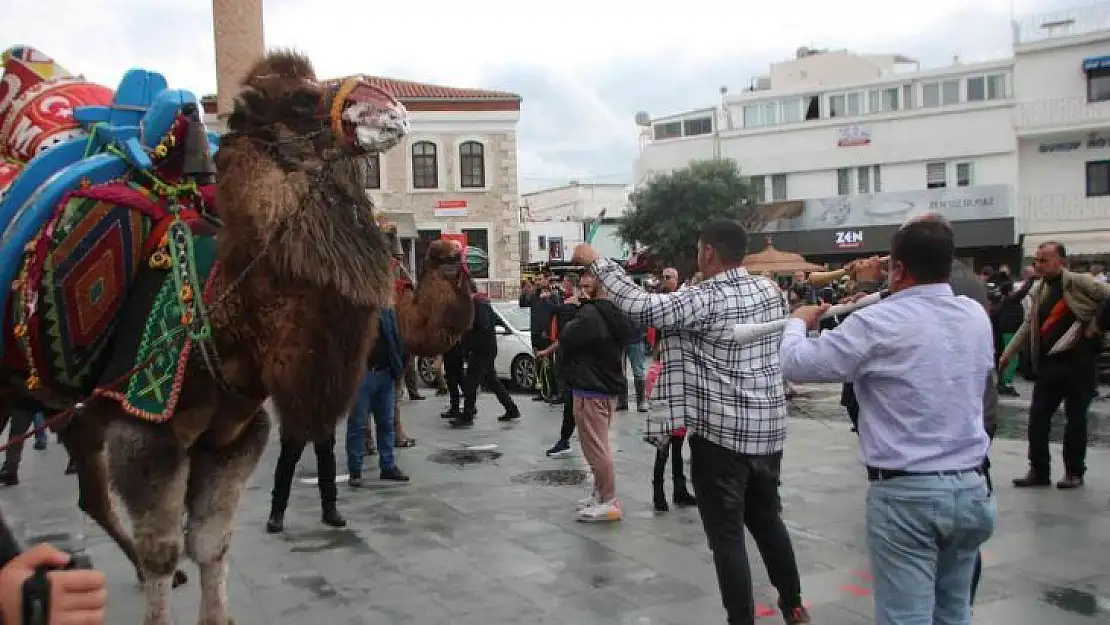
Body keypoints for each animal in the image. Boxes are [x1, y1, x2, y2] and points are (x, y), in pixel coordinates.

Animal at [0, 50, 472, 625]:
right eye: (302, 97)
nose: (395, 110)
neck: (228, 312)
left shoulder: (235, 436)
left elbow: (210, 544)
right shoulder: (145, 429)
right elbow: (164, 553)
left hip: (76, 411)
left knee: (91, 493)